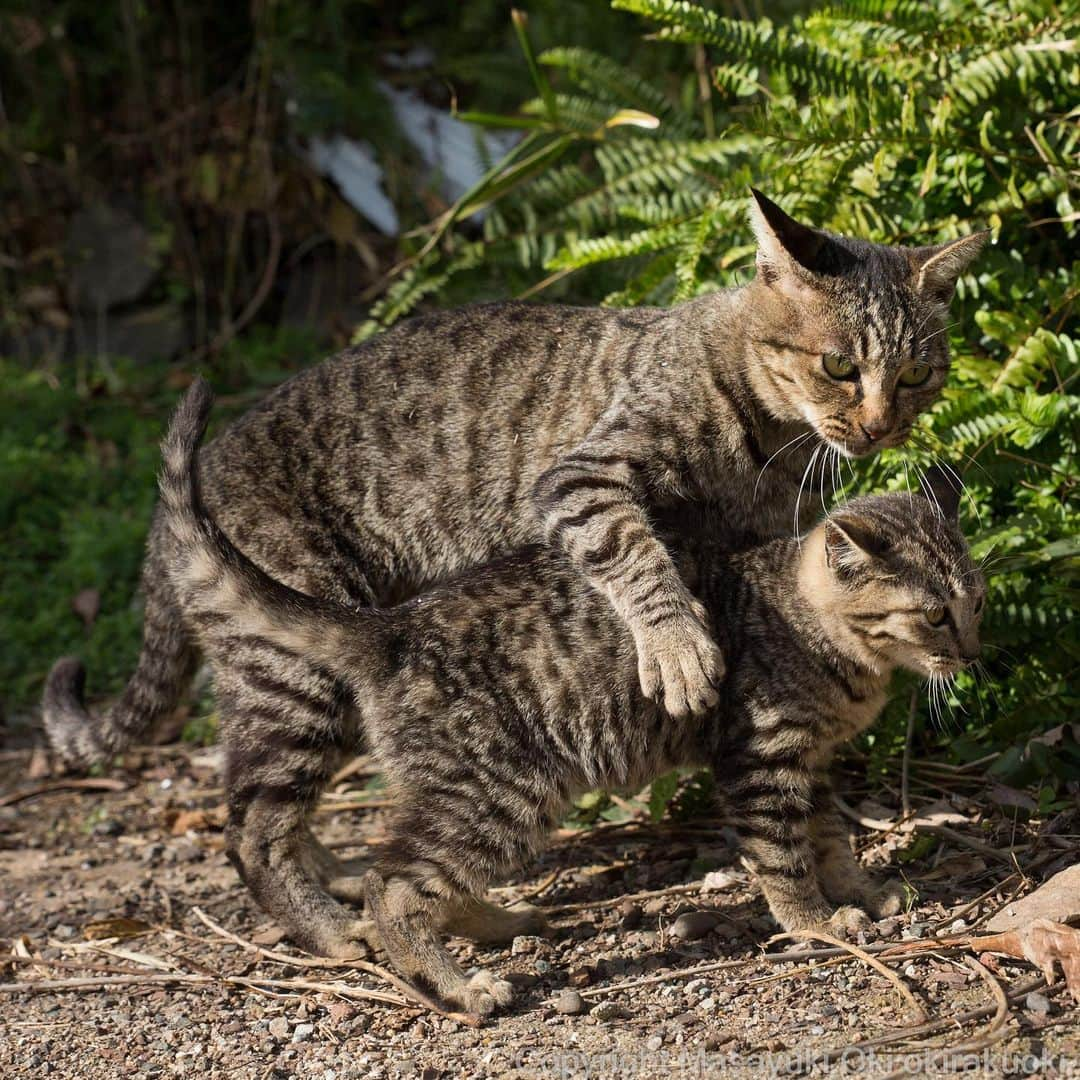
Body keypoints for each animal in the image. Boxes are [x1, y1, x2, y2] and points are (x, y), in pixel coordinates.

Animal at [139, 384, 984, 1015]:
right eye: (933, 615)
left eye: (974, 601)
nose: (974, 653)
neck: (836, 651)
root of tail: (391, 627)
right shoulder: (763, 764)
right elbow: (784, 859)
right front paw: (817, 925)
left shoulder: (814, 765)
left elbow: (833, 839)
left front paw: (864, 893)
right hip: (495, 788)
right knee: (390, 884)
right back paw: (455, 987)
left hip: (505, 794)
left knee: (433, 876)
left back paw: (498, 922)